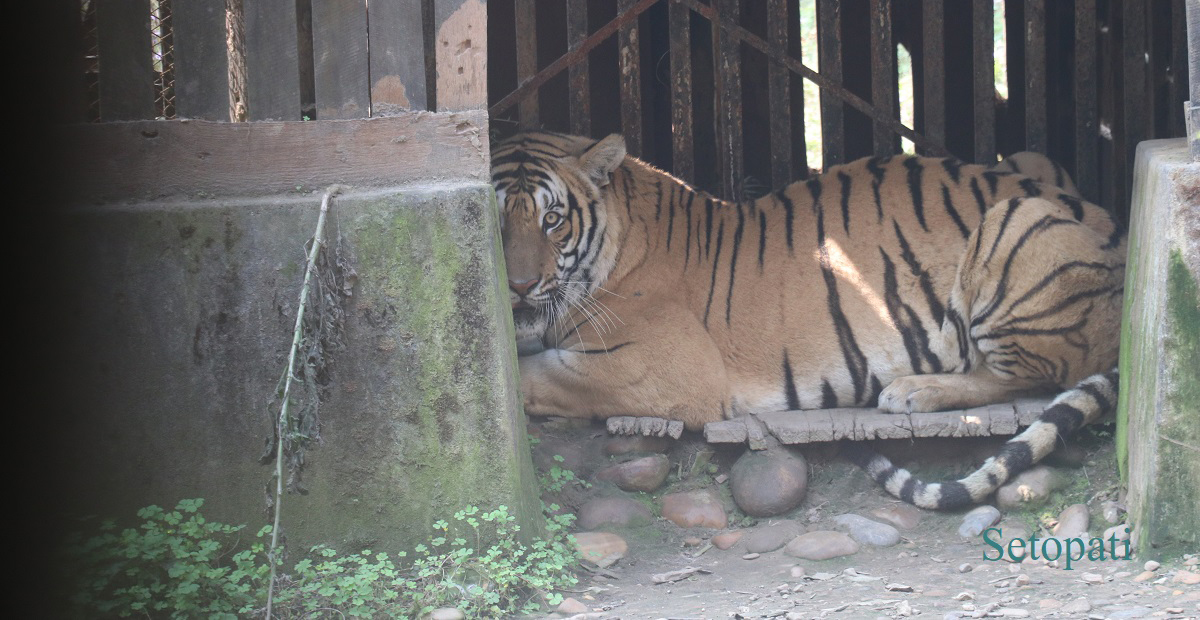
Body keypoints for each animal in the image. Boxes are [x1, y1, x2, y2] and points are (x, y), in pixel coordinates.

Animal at [494, 129, 1123, 508]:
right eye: (493, 222)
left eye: (552, 219)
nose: (518, 288)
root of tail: (1118, 227)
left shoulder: (653, 371)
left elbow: (531, 380)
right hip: (1029, 165)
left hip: (1018, 217)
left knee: (1030, 377)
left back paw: (913, 391)